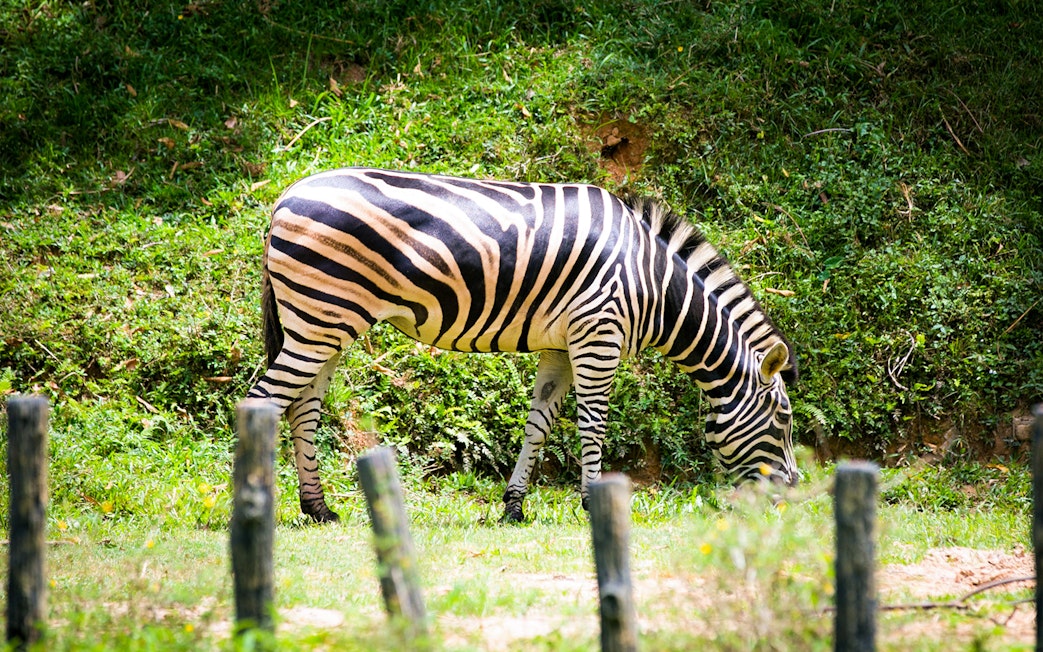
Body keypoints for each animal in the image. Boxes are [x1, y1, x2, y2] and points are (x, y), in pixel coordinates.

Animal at [246, 167, 798, 523]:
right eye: (784, 420)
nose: (793, 495)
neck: (653, 285)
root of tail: (285, 194)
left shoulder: (561, 346)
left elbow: (539, 424)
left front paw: (513, 506)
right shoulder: (599, 333)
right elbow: (592, 423)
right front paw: (592, 503)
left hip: (326, 323)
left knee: (302, 407)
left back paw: (318, 509)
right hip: (321, 317)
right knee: (264, 399)